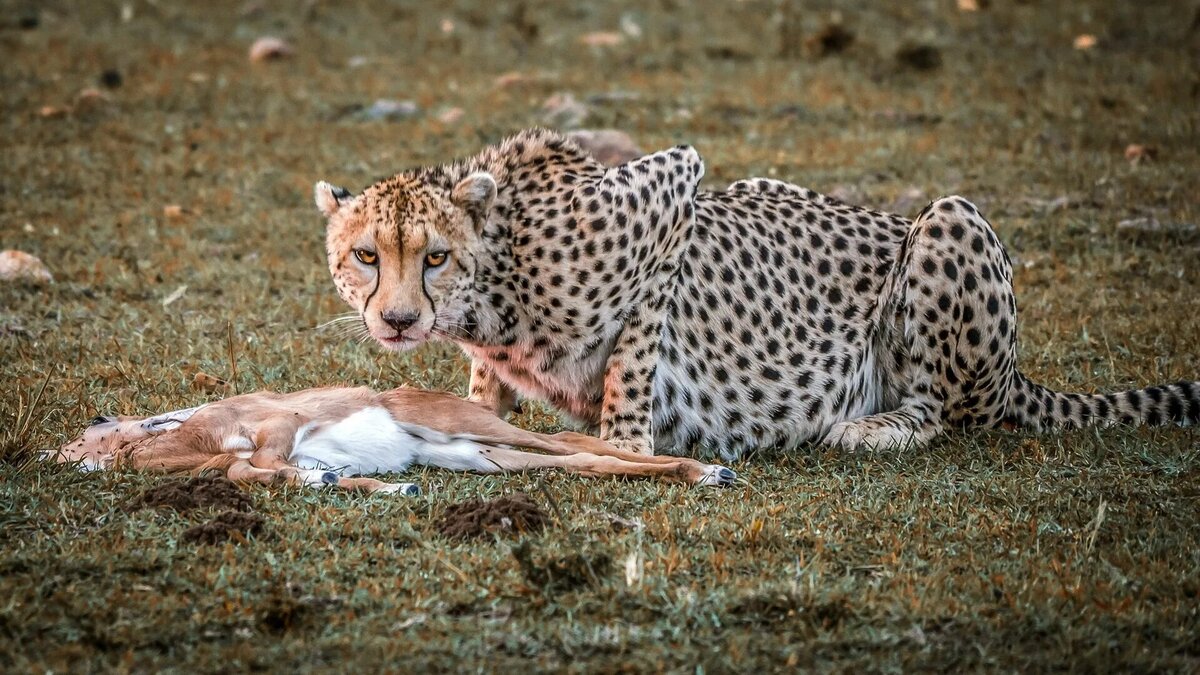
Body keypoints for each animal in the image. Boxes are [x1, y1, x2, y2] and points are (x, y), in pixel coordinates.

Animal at [314, 126, 1195, 456]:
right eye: (365, 256)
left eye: (434, 258)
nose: (398, 318)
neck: (495, 281)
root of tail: (1018, 378)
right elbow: (485, 385)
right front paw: (474, 414)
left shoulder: (673, 196)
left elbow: (633, 359)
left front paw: (625, 444)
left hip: (950, 220)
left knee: (950, 410)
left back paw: (874, 427)